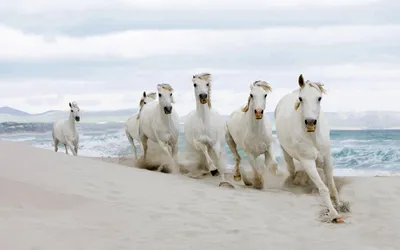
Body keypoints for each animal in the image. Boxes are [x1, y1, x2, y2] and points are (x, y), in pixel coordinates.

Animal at [276, 73, 344, 223]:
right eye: (301, 99)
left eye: (319, 98)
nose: (311, 123)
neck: (313, 137)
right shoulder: (308, 162)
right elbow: (323, 189)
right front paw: (334, 214)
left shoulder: (327, 159)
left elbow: (332, 187)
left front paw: (339, 206)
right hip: (286, 153)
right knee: (291, 169)